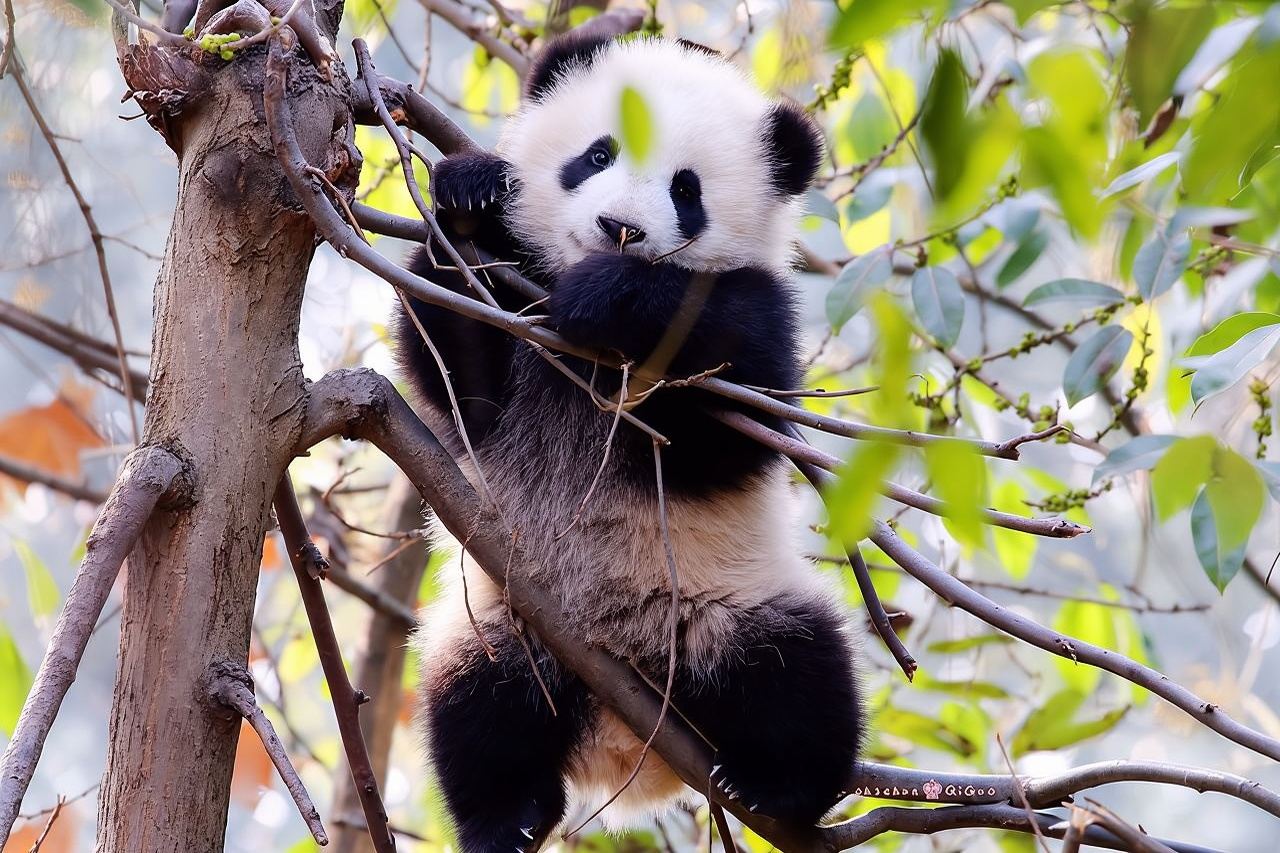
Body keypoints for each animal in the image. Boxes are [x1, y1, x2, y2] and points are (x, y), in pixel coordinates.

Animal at [395, 32, 864, 851]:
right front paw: (472, 202)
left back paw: (778, 783)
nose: (621, 229)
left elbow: (719, 424)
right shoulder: (510, 331)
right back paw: (506, 818)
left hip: (728, 602)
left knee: (799, 671)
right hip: (500, 619)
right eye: (597, 153)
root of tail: (625, 743)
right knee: (478, 712)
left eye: (687, 190)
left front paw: (611, 296)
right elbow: (460, 380)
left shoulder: (761, 315)